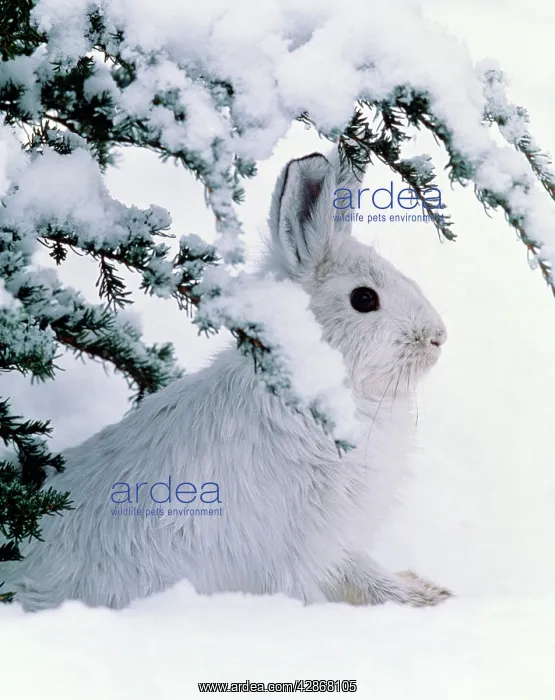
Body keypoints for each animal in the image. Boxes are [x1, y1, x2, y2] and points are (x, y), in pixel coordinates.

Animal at [1, 151, 452, 611]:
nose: (438, 336)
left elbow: (362, 571)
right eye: (364, 298)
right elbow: (304, 592)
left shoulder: (334, 541)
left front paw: (426, 596)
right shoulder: (291, 546)